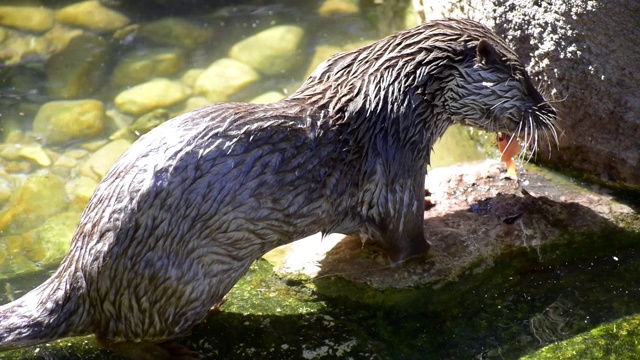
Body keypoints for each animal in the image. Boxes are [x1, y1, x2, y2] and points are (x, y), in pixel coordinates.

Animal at [0, 19, 556, 358]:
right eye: (525, 78)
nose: (548, 110)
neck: (395, 98)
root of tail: (79, 272)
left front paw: (433, 198)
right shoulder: (396, 165)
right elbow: (404, 238)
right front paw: (431, 252)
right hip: (170, 284)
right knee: (117, 338)